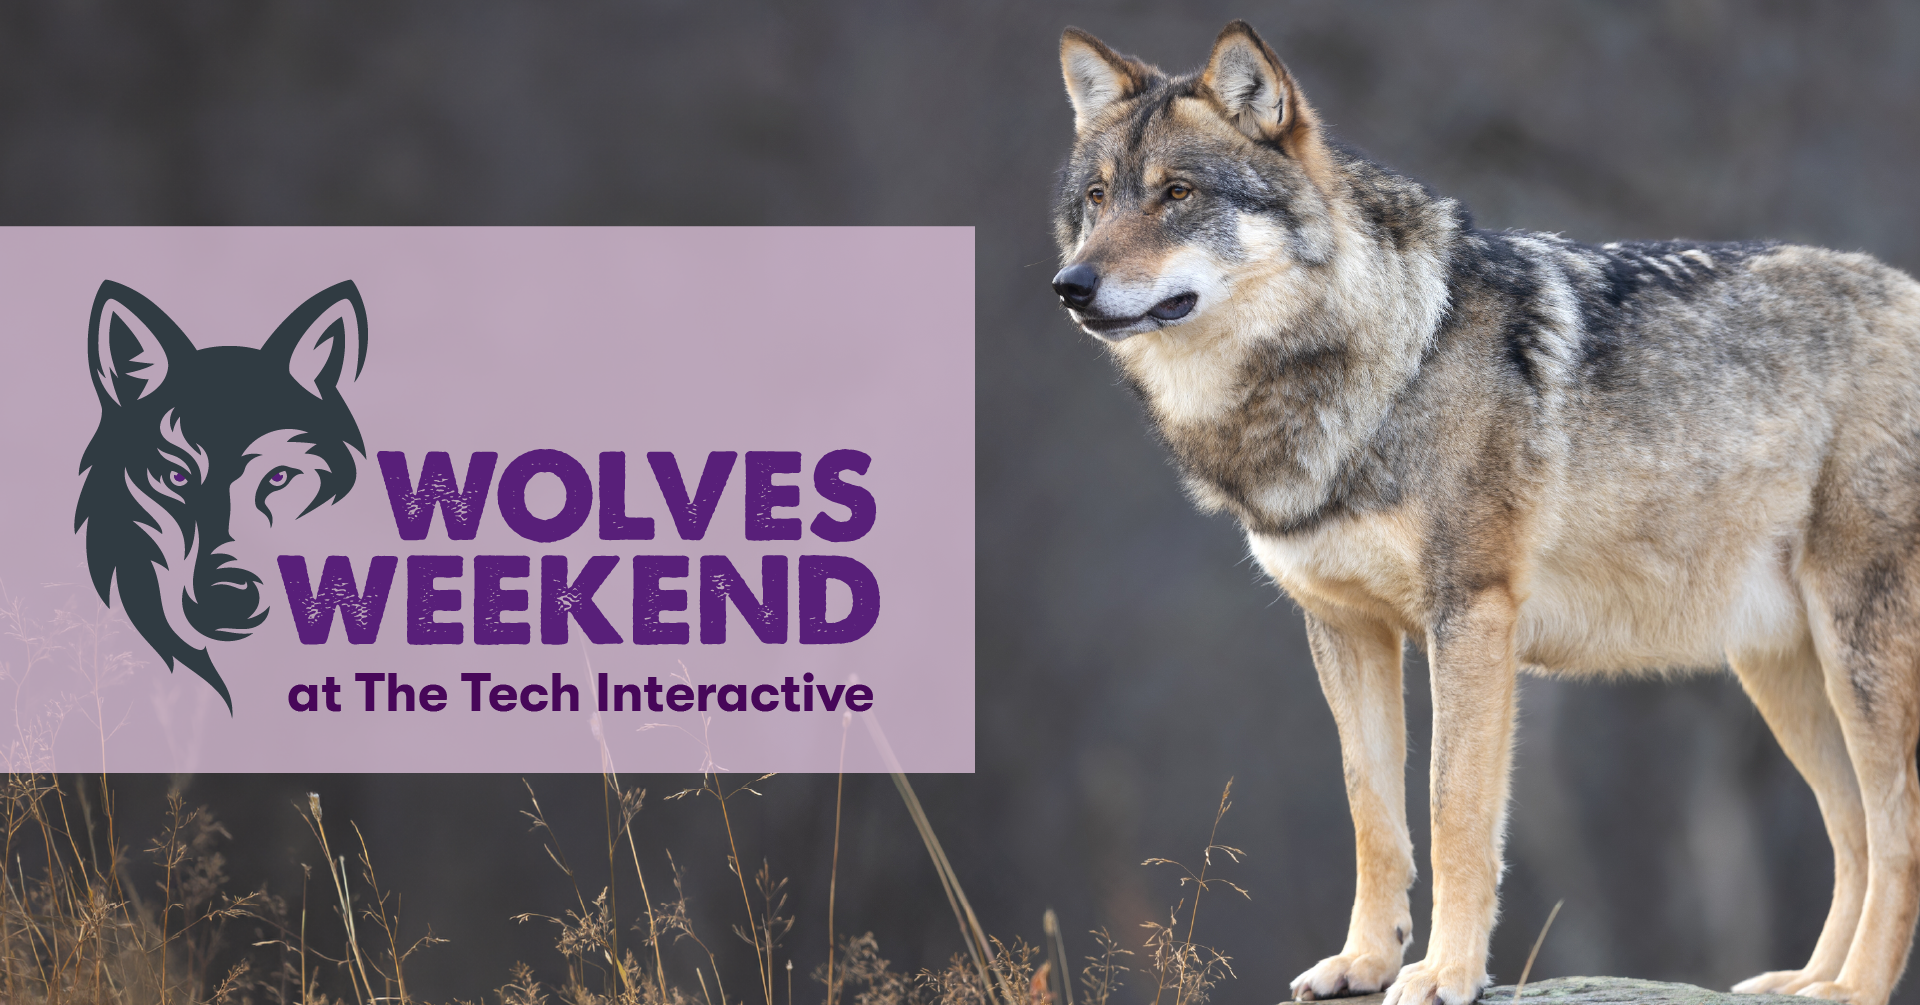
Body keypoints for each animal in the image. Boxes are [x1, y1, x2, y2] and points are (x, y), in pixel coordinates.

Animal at [1051, 21, 1920, 1005]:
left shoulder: (1470, 616)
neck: (1382, 362)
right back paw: (1805, 981)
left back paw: (1852, 988)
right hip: (1779, 674)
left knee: (1896, 835)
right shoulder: (1343, 627)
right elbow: (1372, 812)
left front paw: (1445, 971)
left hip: (1856, 655)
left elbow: (1454, 812)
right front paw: (1365, 962)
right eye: (1095, 198)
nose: (1071, 284)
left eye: (1178, 194)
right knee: (1853, 833)